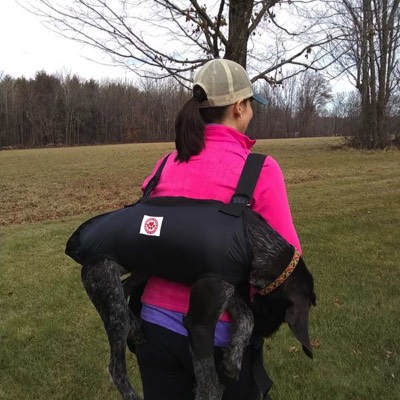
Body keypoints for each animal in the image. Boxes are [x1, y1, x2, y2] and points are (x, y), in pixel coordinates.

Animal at [66, 200, 316, 400]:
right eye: (276, 317)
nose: (258, 340)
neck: (252, 243)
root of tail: (76, 244)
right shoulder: (200, 322)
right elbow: (210, 386)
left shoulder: (224, 285)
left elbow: (246, 315)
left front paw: (233, 357)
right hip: (107, 286)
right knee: (116, 369)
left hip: (142, 268)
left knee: (126, 288)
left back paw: (135, 326)